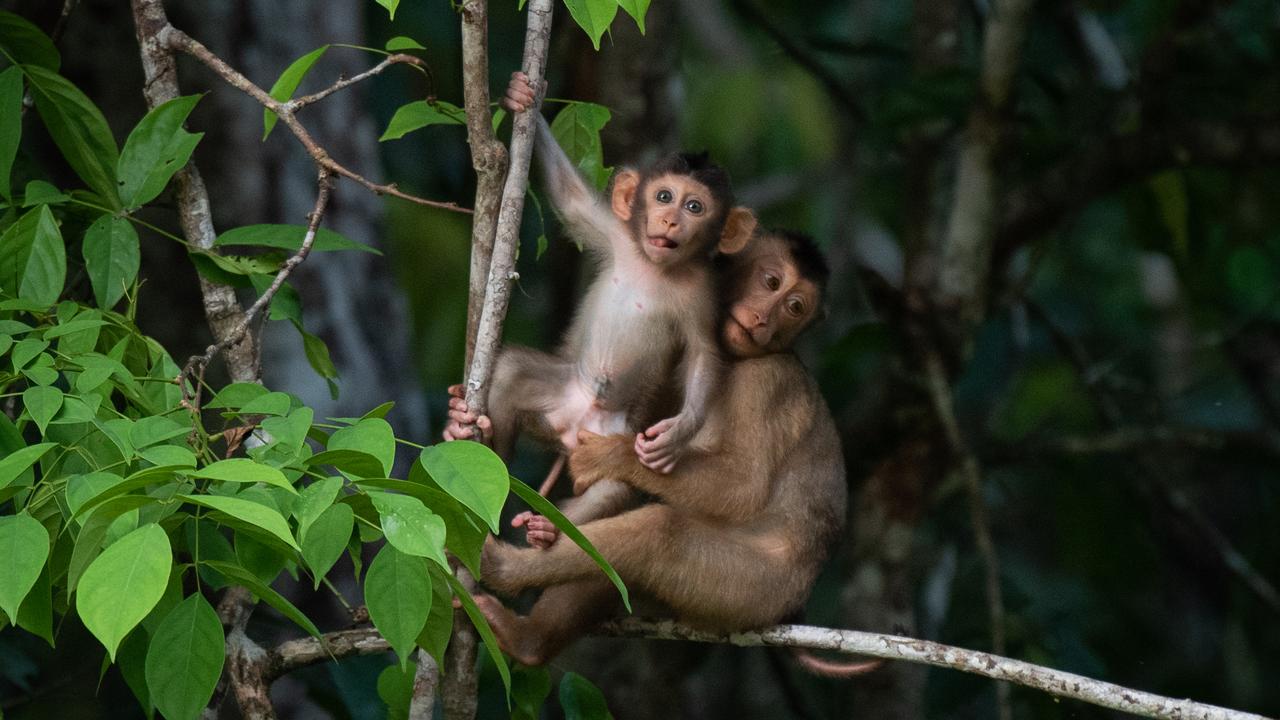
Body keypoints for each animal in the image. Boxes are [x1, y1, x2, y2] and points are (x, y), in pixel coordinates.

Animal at [470, 230, 880, 676]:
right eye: (771, 282)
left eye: (794, 308)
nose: (763, 319)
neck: (733, 361)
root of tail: (794, 604)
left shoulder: (768, 380)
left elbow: (744, 486)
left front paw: (611, 456)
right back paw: (528, 640)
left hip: (752, 587)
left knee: (660, 534)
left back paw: (503, 570)